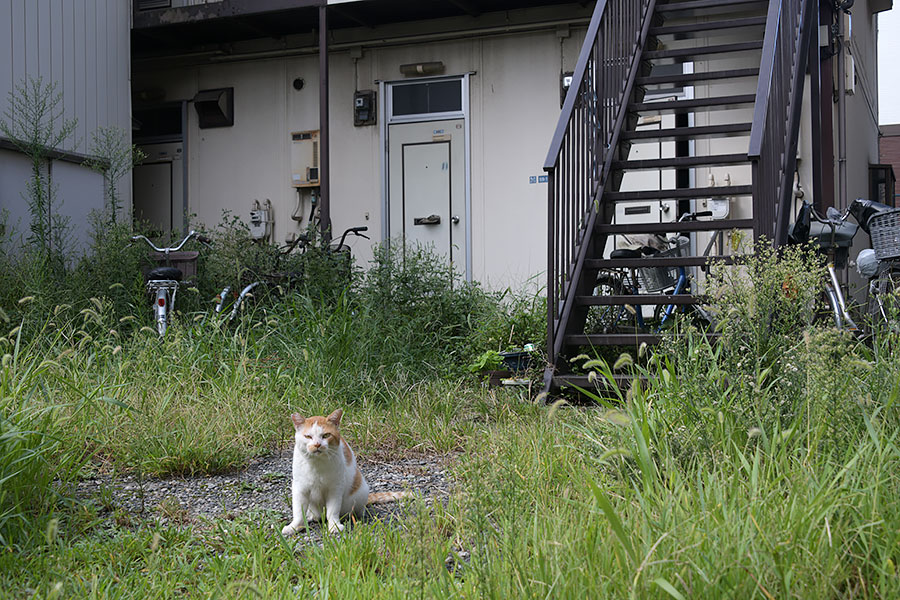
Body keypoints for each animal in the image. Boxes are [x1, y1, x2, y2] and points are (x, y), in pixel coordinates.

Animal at [282, 408, 408, 536]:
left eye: (326, 435)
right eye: (308, 436)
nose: (317, 444)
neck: (317, 464)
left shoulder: (335, 488)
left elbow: (332, 510)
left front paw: (334, 526)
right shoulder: (299, 488)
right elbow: (298, 511)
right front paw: (294, 526)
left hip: (361, 492)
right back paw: (312, 516)